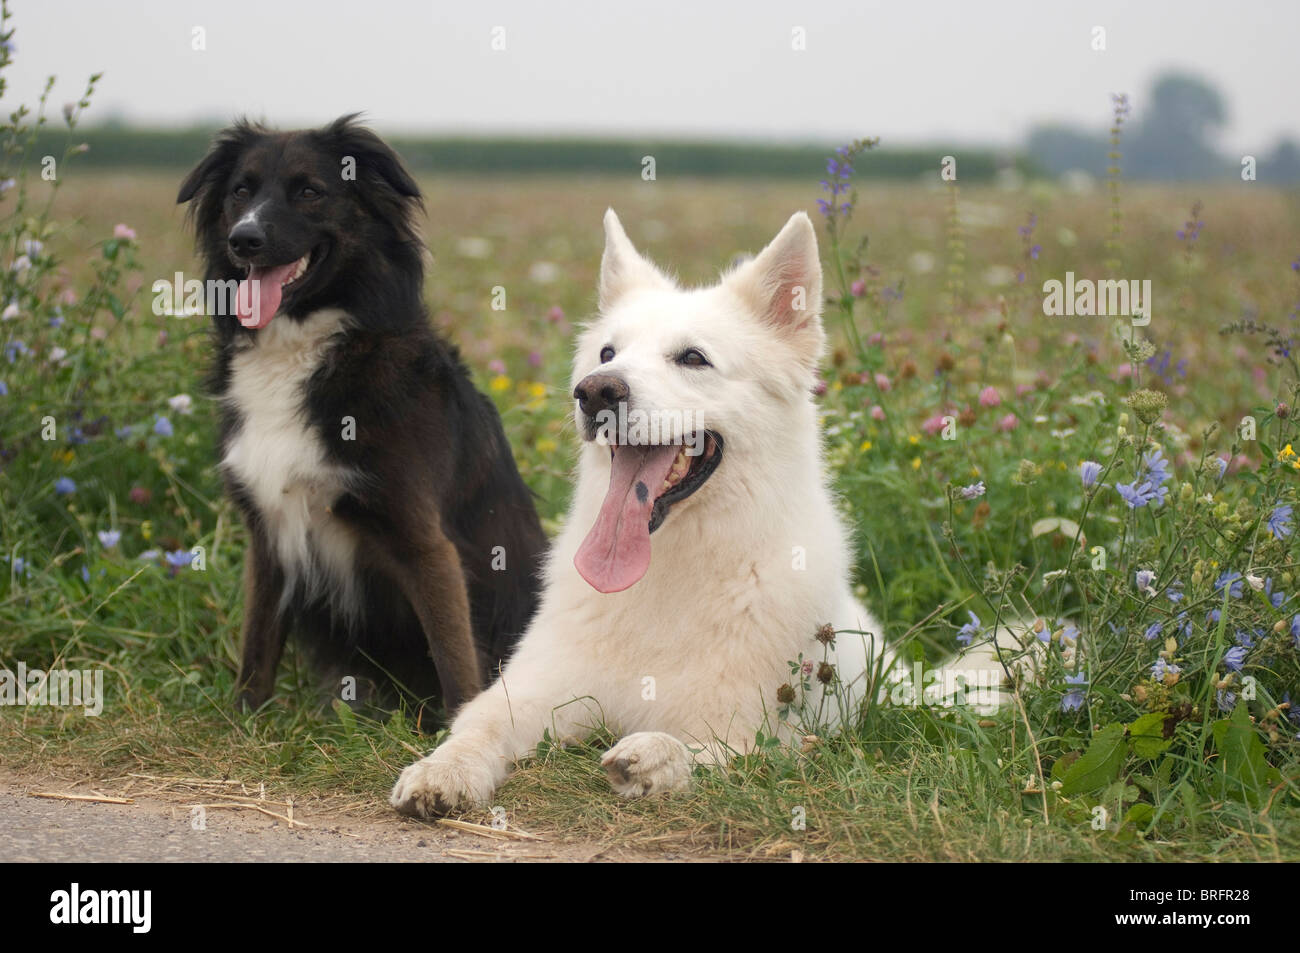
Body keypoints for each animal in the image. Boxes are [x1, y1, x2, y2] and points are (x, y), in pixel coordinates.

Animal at [176, 115, 543, 712]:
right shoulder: (267, 531)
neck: (307, 345)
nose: (244, 240)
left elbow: (454, 659)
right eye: (240, 192)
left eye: (309, 191)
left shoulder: (423, 540)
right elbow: (257, 643)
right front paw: (245, 718)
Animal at [390, 210, 889, 816]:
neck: (665, 573)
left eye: (693, 357)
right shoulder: (533, 692)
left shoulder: (755, 733)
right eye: (608, 354)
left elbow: (706, 750)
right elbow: (477, 727)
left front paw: (653, 757)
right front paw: (444, 771)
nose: (595, 392)